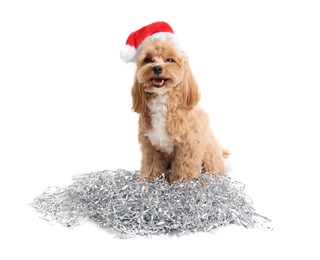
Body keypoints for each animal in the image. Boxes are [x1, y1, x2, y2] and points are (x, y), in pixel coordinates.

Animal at [121, 21, 229, 182]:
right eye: (148, 60)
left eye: (170, 60)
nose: (157, 68)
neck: (162, 101)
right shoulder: (150, 147)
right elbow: (151, 166)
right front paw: (148, 179)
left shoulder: (188, 146)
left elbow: (184, 169)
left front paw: (182, 183)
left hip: (210, 153)